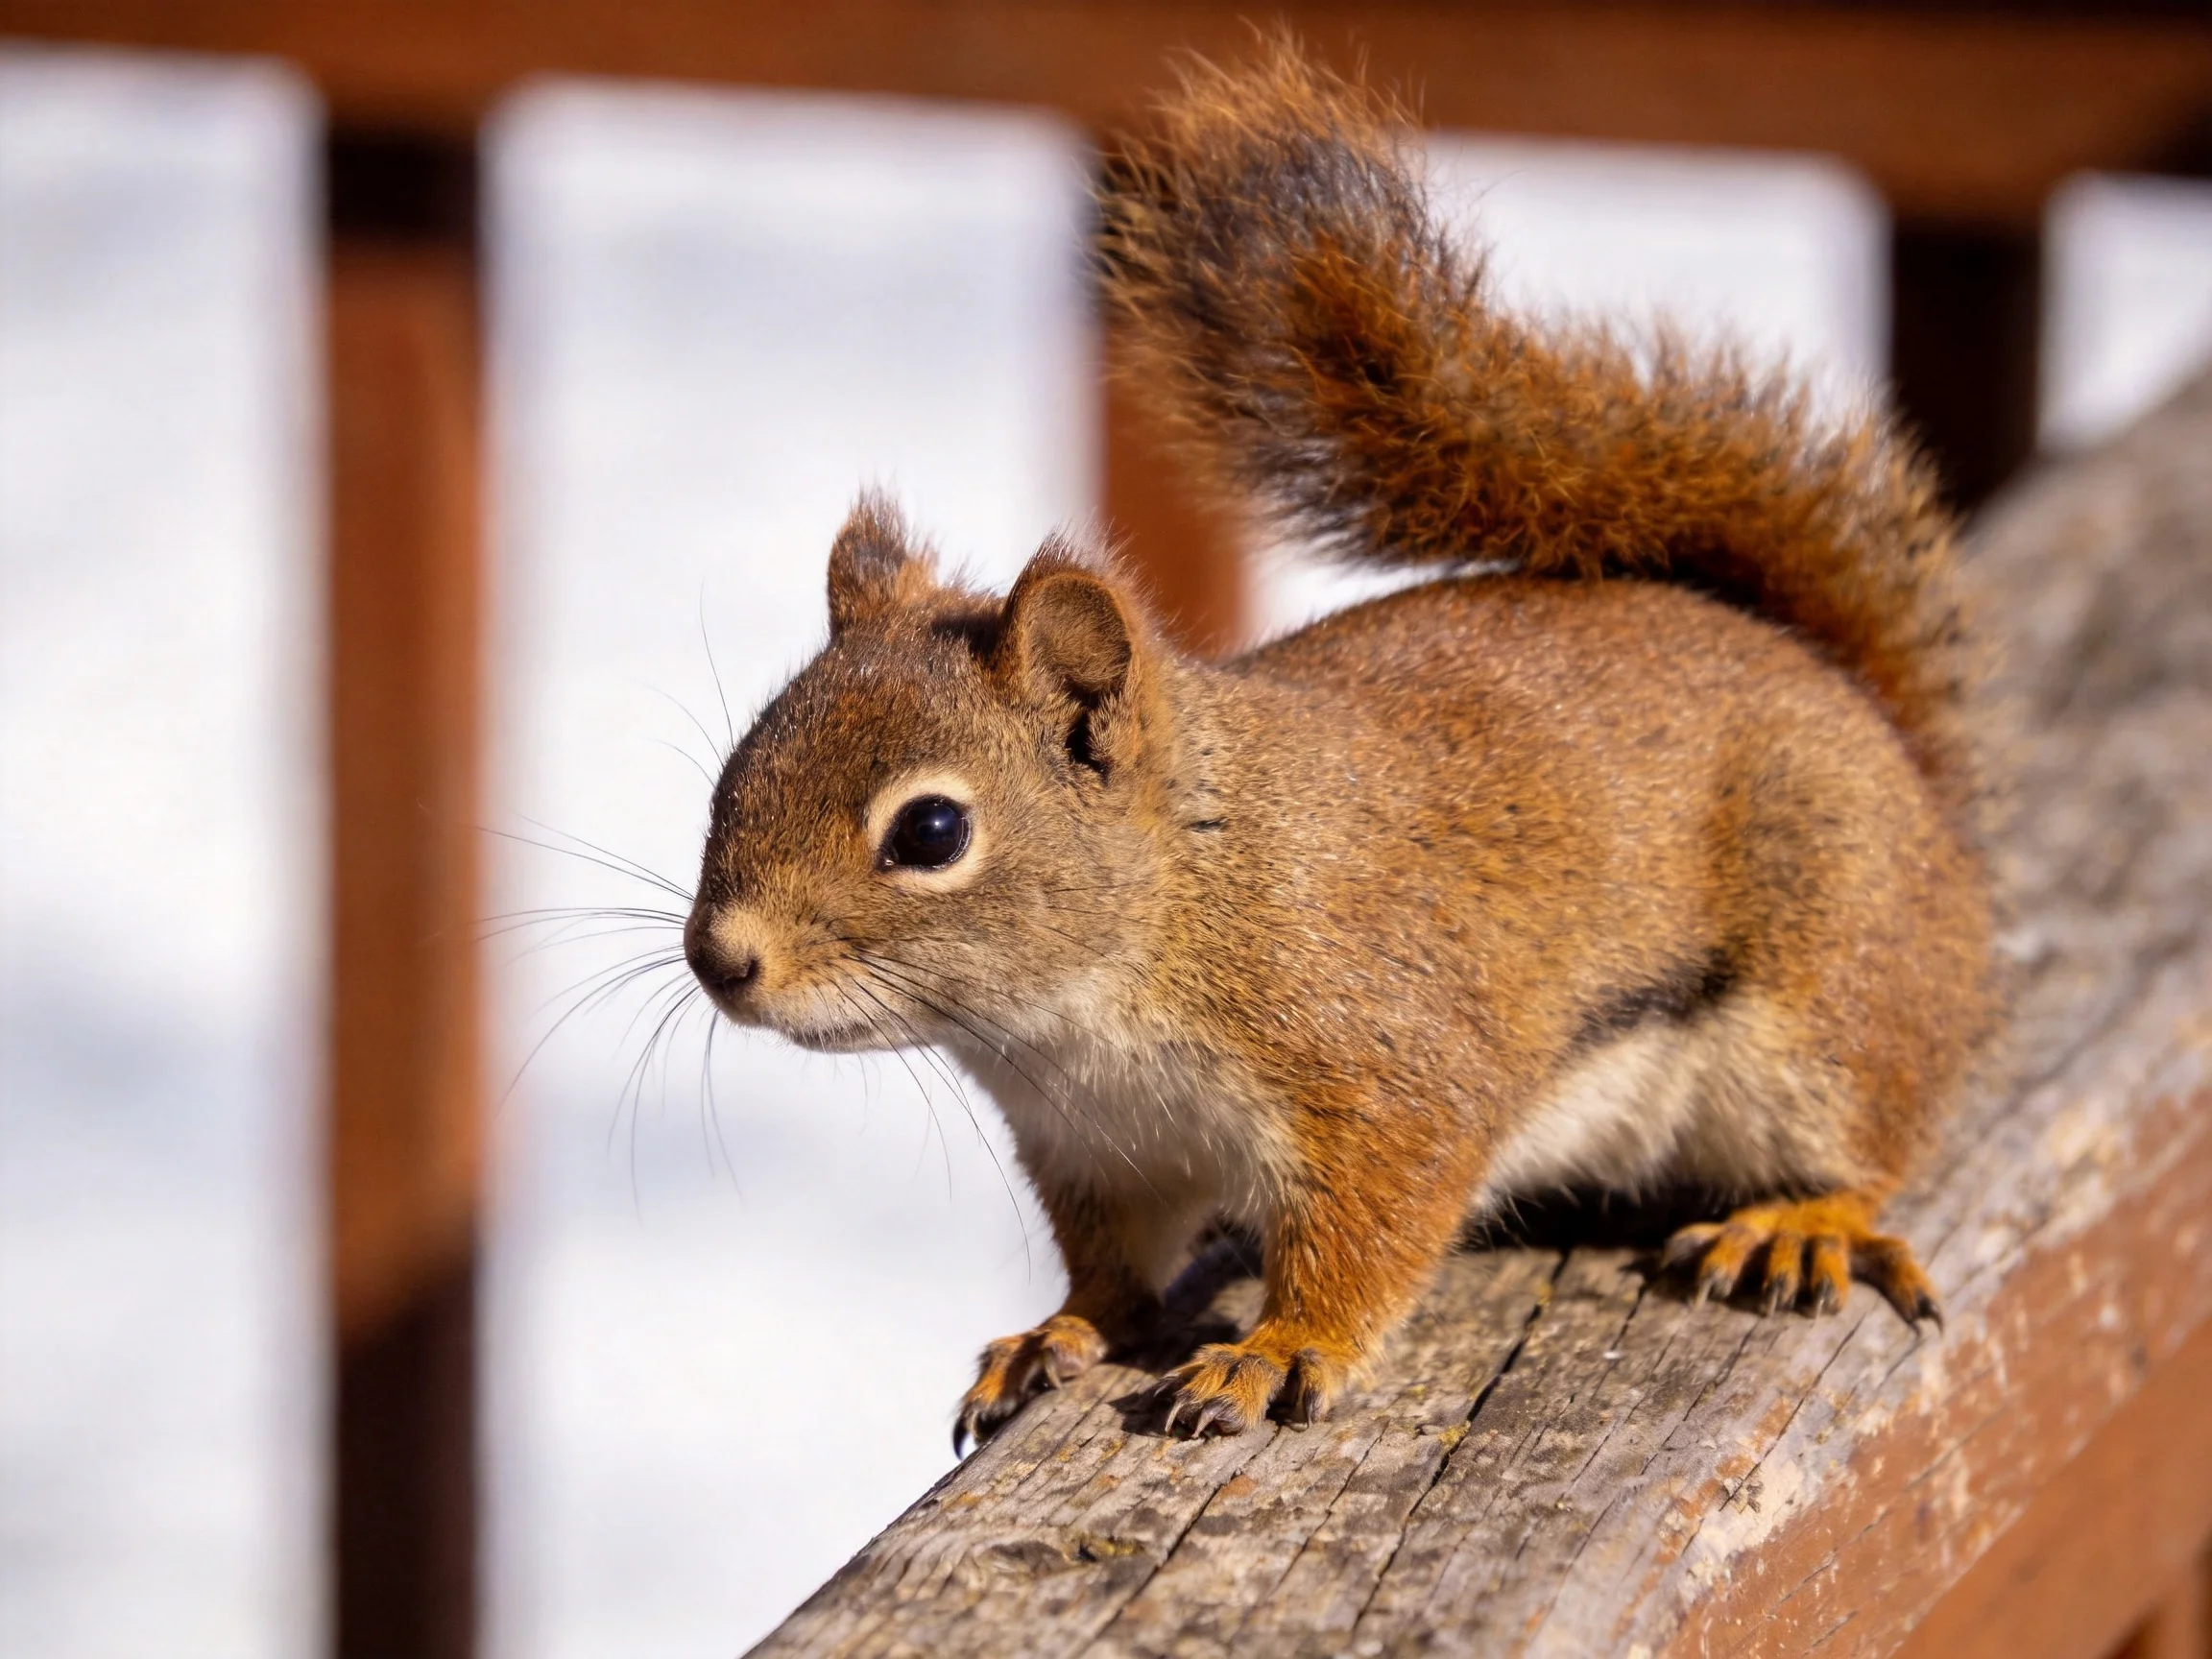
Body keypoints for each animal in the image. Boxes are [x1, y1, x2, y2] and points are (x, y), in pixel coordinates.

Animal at [682, 44, 1994, 1448]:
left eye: (930, 831)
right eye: (735, 771)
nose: (720, 961)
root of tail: (1899, 764)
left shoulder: (1379, 1070)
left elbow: (1368, 1234)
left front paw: (1277, 1350)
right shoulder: (1098, 1148)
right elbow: (1109, 1267)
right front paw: (1060, 1330)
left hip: (1831, 990)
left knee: (1879, 1142)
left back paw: (1803, 1223)